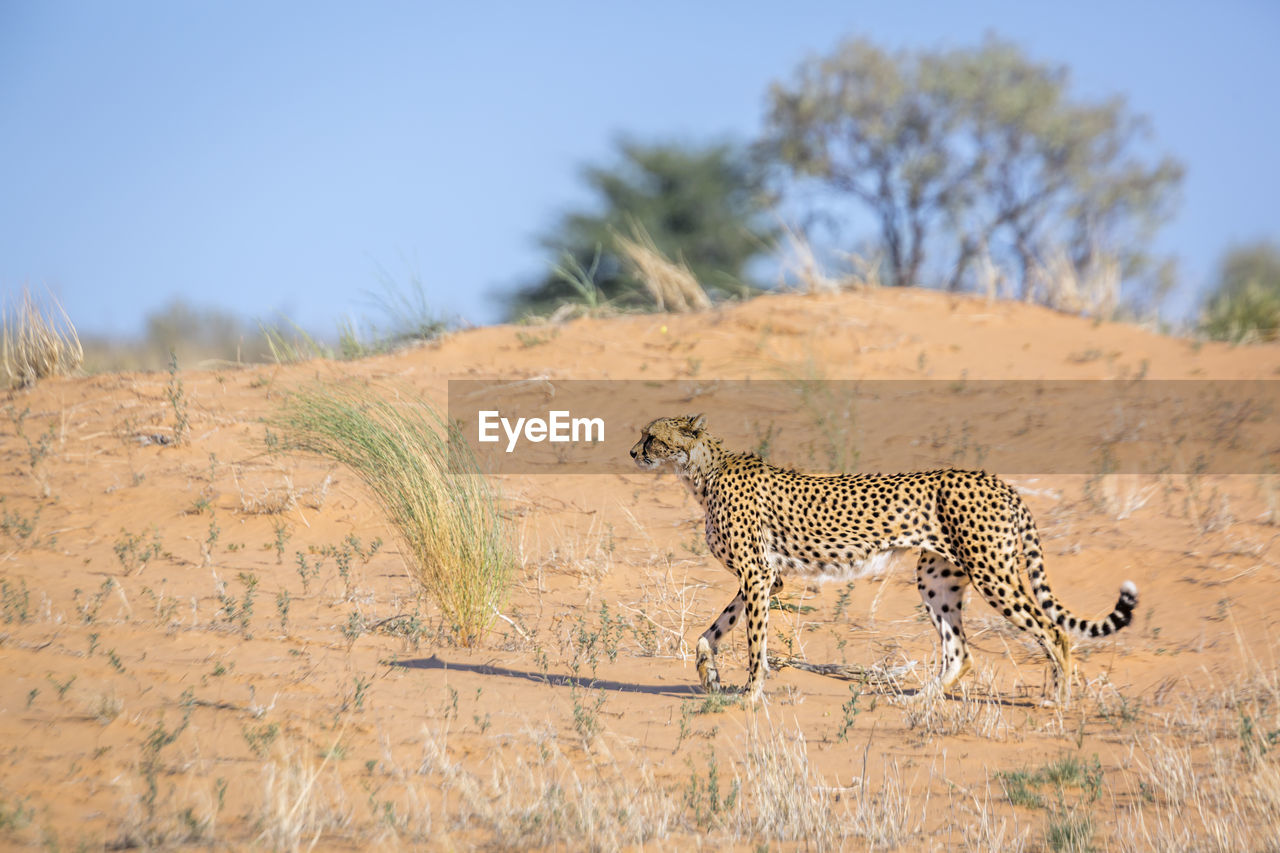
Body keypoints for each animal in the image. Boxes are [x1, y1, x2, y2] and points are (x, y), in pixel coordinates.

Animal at [629, 412, 1141, 701]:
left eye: (651, 436)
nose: (633, 452)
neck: (702, 471)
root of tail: (994, 478)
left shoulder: (757, 576)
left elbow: (756, 644)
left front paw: (751, 694)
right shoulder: (768, 578)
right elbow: (709, 633)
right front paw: (710, 678)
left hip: (992, 572)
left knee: (1055, 632)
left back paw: (1059, 702)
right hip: (937, 579)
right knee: (960, 652)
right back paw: (918, 702)